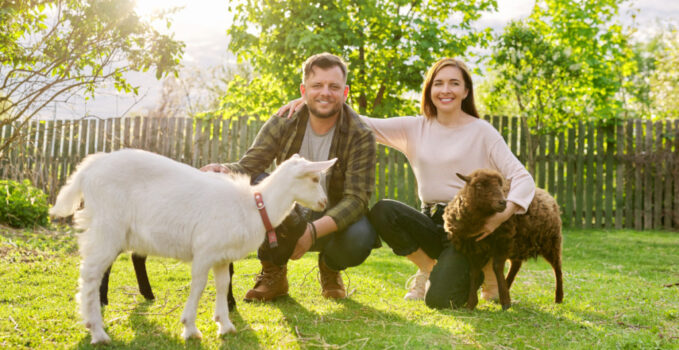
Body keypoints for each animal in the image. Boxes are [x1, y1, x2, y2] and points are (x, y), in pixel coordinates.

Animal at [49, 149, 336, 344]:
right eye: (313, 179)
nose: (324, 202)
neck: (253, 205)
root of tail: (89, 169)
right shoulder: (204, 251)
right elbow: (198, 286)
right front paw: (190, 328)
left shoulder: (221, 256)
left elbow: (222, 284)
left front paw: (225, 324)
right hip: (107, 226)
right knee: (90, 275)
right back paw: (97, 331)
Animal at [440, 169, 564, 308]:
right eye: (478, 185)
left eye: (500, 186)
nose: (503, 203)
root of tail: (546, 193)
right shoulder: (473, 249)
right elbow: (474, 272)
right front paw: (471, 304)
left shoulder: (502, 243)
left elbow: (497, 267)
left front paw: (505, 302)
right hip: (518, 245)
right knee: (516, 265)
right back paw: (507, 285)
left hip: (551, 241)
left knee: (557, 268)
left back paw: (558, 297)